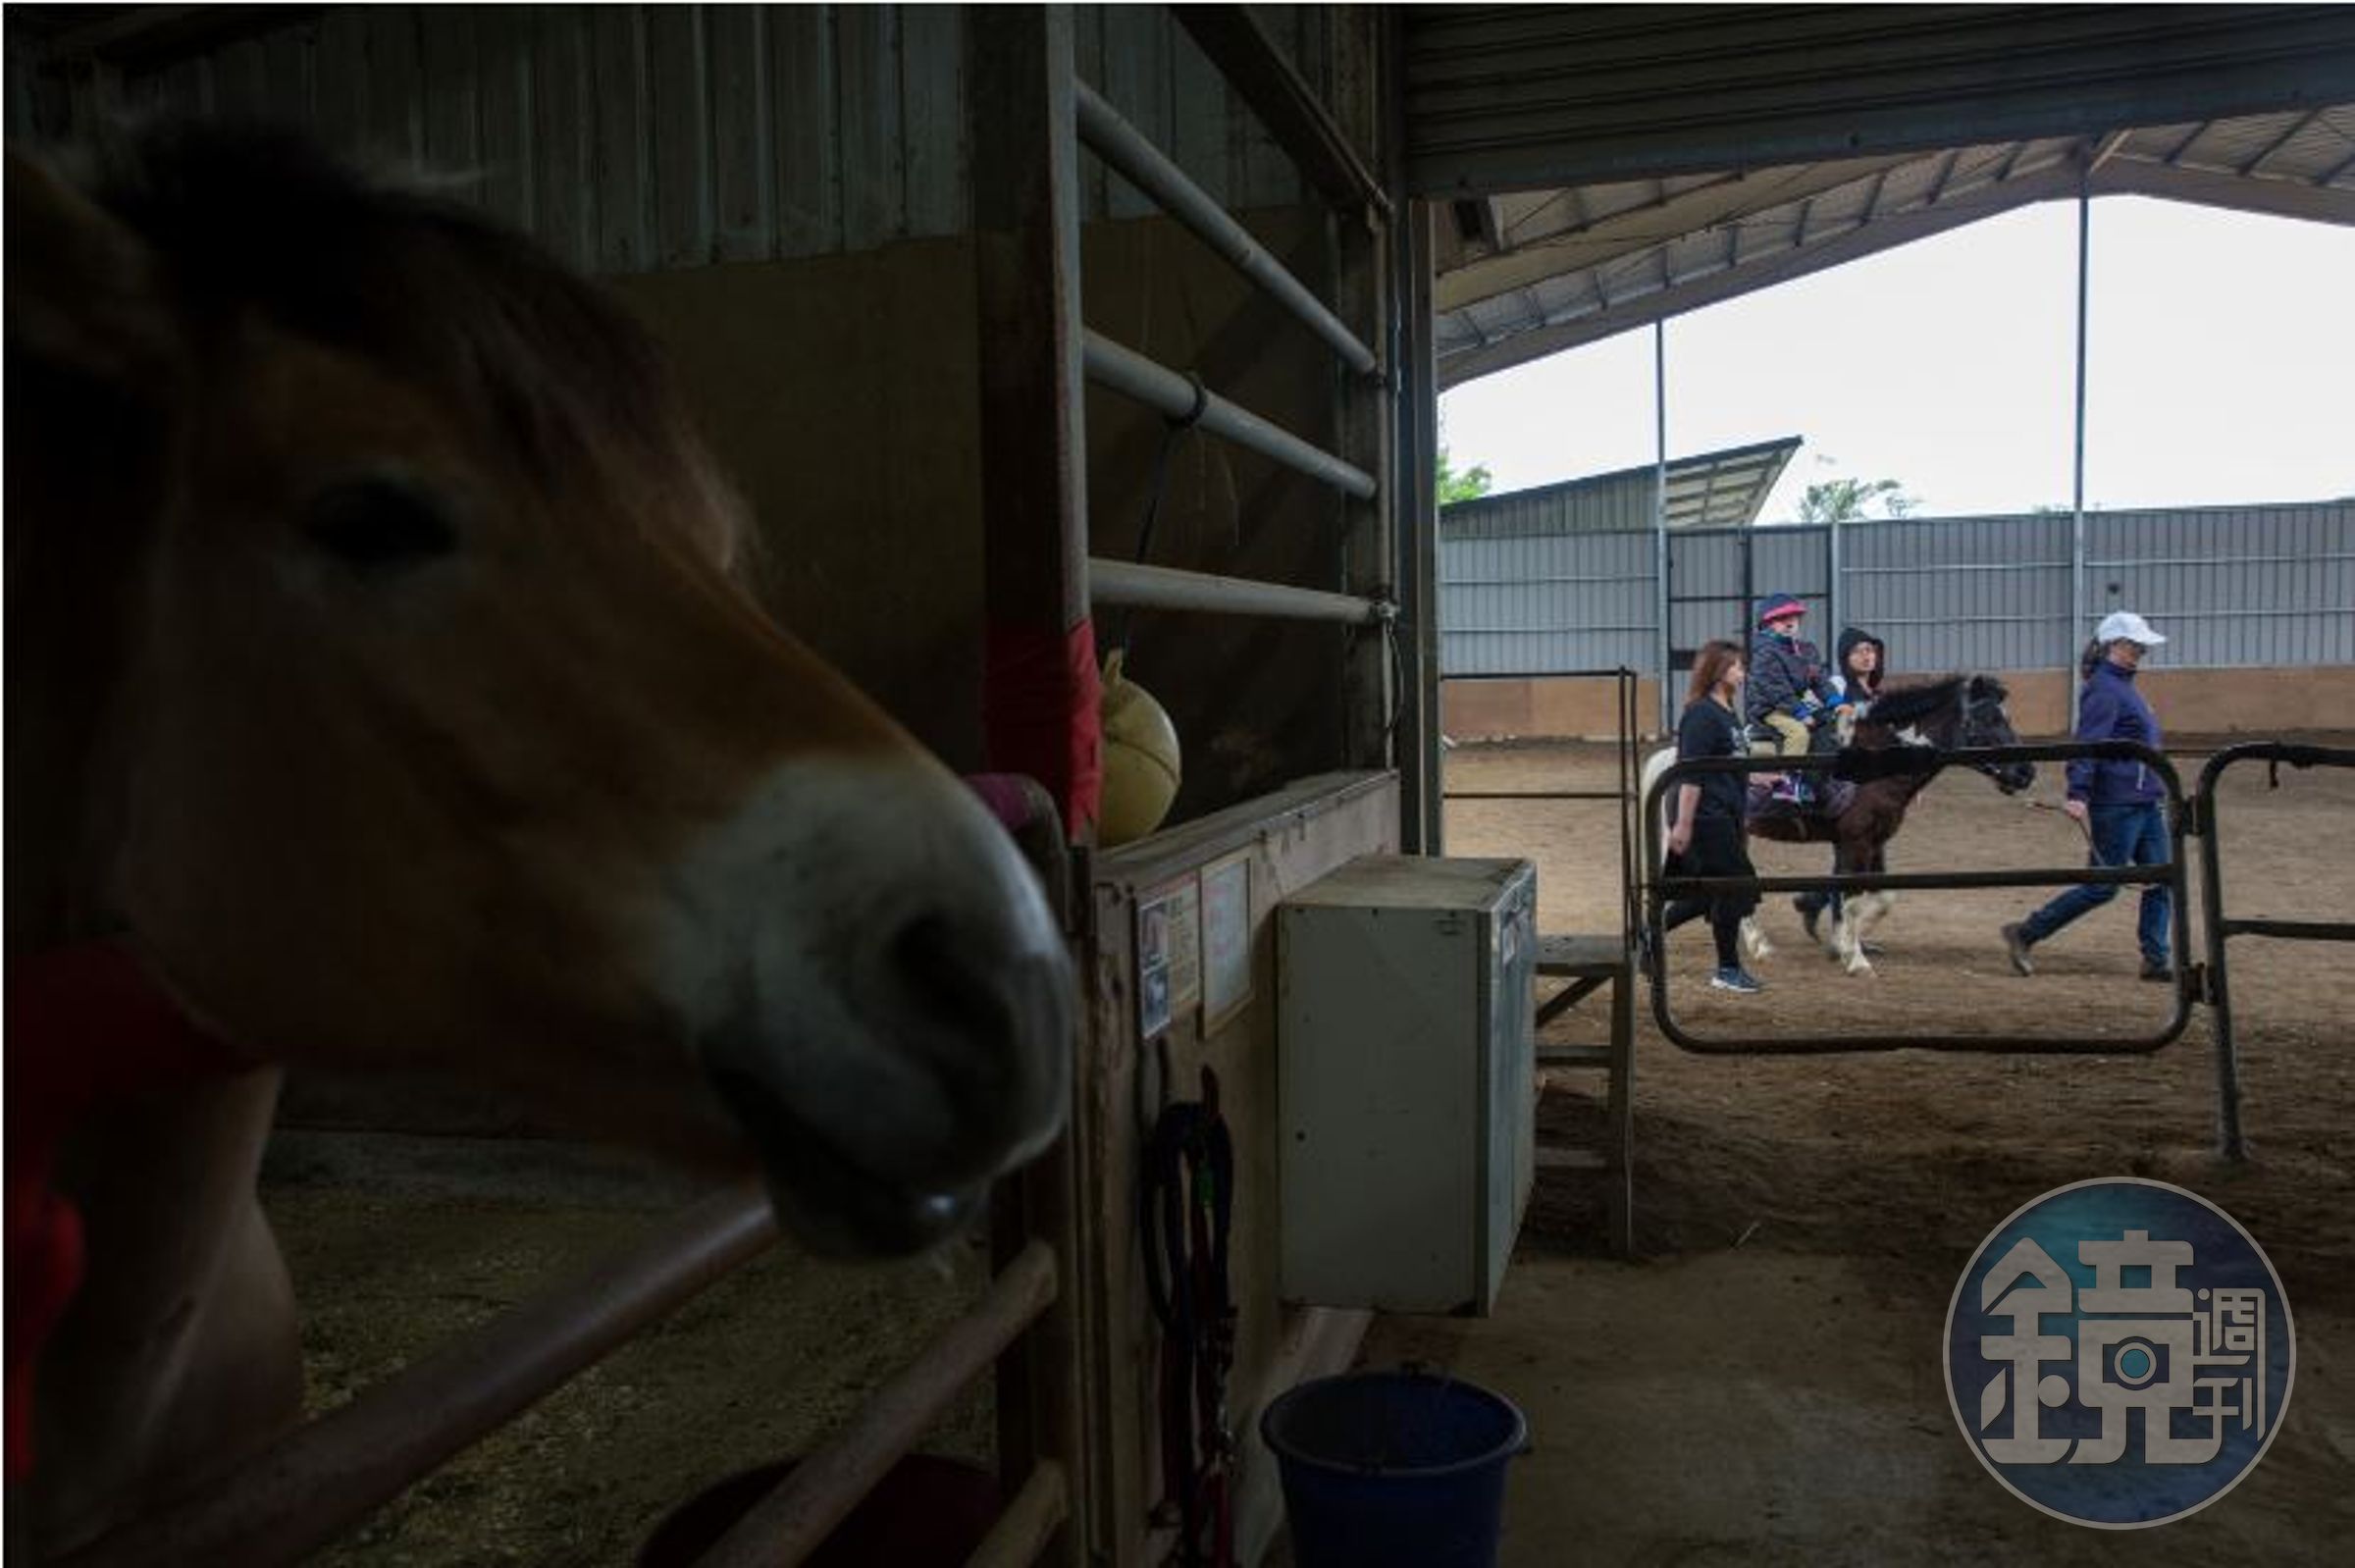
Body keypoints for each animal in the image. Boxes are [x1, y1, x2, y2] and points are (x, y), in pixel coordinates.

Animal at [1640, 675, 2035, 977]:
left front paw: (1847, 941)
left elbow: (1881, 897)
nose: (2026, 772)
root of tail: (1673, 758)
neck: (1875, 760)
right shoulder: (1855, 841)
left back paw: (1758, 944)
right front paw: (1854, 956)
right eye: (1987, 719)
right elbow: (1852, 897)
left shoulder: (1875, 841)